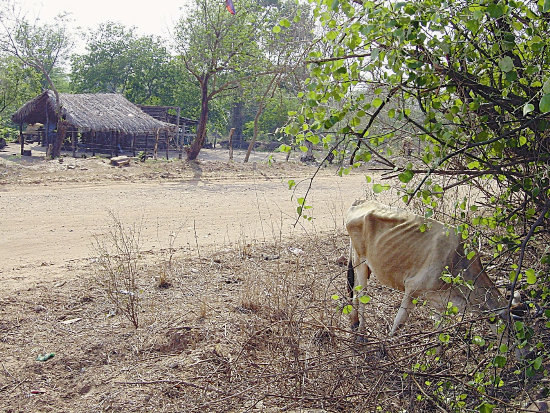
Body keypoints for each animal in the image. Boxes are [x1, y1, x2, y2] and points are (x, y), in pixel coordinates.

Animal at [348, 200, 528, 358]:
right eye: (513, 331)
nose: (528, 354)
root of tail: (360, 203)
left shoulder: (441, 301)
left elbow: (440, 329)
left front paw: (439, 357)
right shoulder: (412, 289)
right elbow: (399, 322)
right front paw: (384, 349)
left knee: (355, 292)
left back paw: (354, 322)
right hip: (361, 261)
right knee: (362, 295)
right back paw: (361, 333)